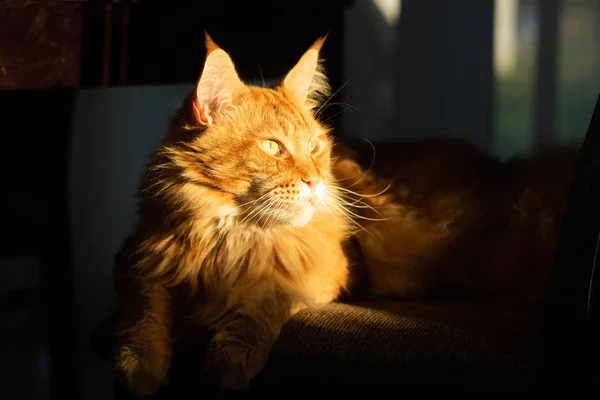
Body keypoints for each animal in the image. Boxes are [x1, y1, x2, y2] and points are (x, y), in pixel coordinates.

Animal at [110, 32, 580, 396]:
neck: (231, 237)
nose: (315, 181)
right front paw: (139, 368)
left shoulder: (321, 271)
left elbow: (262, 301)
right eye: (273, 147)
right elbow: (142, 315)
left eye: (315, 147)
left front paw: (230, 358)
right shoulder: (140, 260)